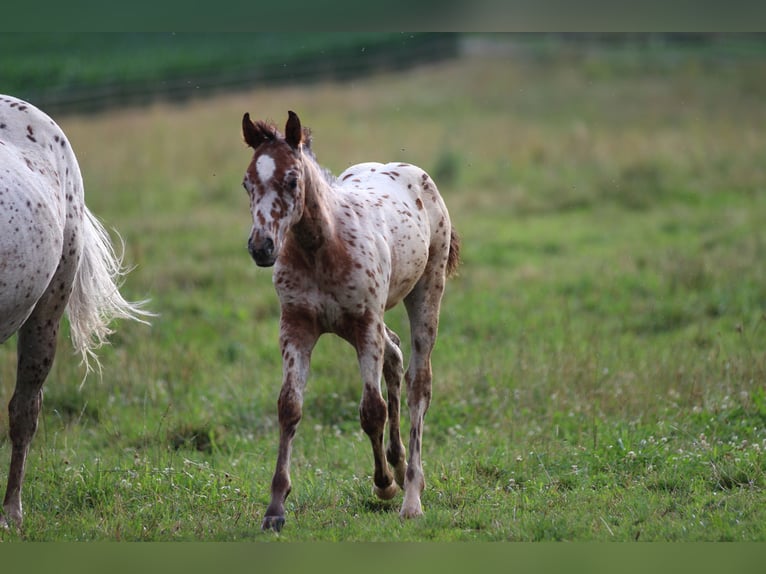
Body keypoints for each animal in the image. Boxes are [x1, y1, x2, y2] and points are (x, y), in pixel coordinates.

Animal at [243, 110, 460, 532]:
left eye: (291, 180)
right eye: (247, 183)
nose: (261, 247)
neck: (322, 247)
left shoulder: (363, 325)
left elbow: (371, 410)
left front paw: (384, 484)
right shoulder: (296, 327)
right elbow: (289, 406)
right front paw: (275, 508)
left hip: (426, 290)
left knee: (418, 381)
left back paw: (411, 494)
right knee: (394, 353)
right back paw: (400, 463)